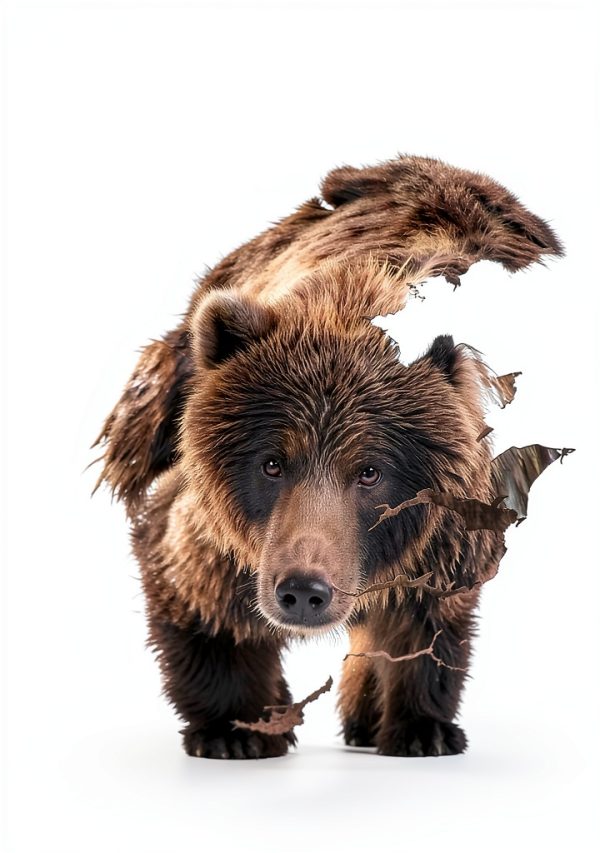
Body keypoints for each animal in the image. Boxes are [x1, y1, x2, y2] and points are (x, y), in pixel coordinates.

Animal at [95, 155, 562, 759]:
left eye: (371, 471)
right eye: (272, 462)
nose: (302, 591)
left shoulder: (447, 527)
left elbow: (427, 623)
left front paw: (423, 728)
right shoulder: (217, 521)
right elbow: (197, 593)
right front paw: (234, 729)